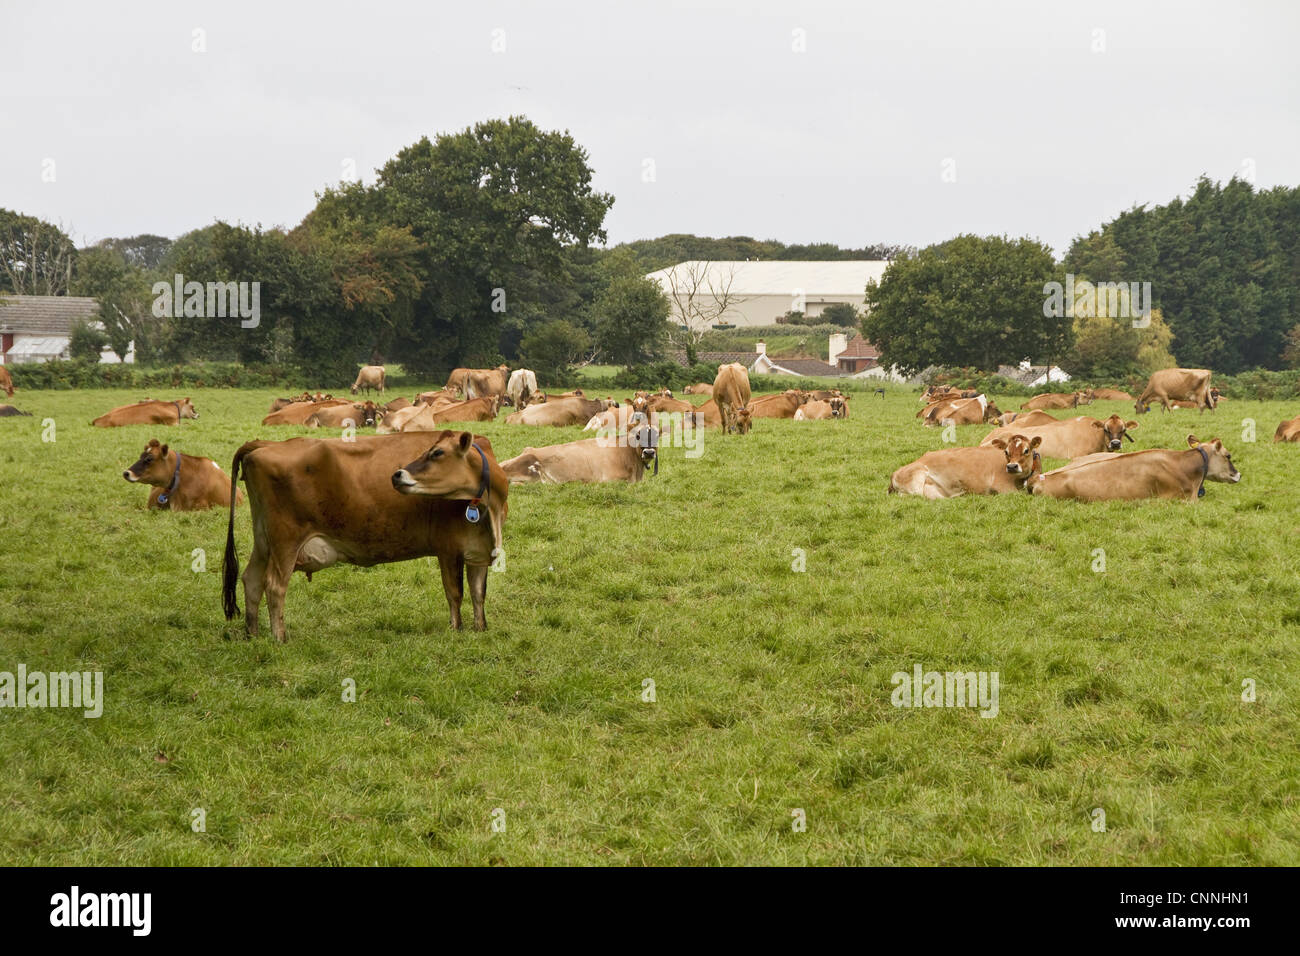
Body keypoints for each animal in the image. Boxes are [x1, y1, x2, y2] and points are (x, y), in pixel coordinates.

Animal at [223, 431, 508, 639]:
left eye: (437, 452)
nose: (397, 474)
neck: (489, 511)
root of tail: (267, 444)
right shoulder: (448, 548)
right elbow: (455, 592)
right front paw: (455, 630)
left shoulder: (478, 550)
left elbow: (478, 592)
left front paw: (481, 629)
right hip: (286, 540)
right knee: (274, 585)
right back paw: (279, 637)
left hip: (264, 539)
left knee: (252, 579)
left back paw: (252, 634)